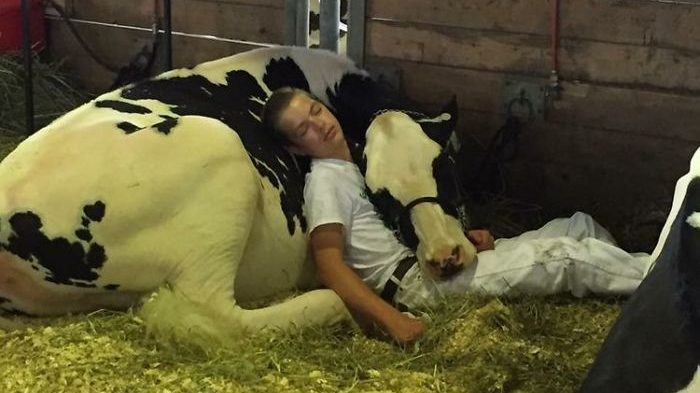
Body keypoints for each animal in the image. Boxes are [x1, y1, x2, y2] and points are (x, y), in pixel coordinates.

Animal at [0, 46, 476, 346]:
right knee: (215, 315)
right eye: (380, 196)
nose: (445, 255)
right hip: (220, 157)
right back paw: (330, 306)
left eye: (446, 169)